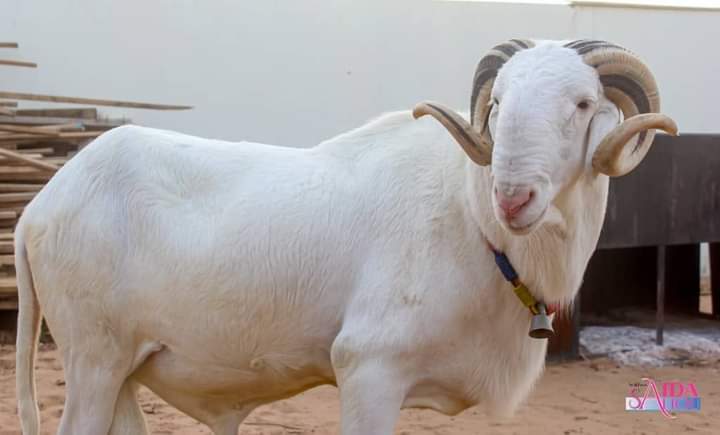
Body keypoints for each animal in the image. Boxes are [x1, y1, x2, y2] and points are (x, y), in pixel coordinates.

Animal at [15, 38, 676, 435]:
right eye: (500, 104)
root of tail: (40, 208)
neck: (472, 223)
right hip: (93, 359)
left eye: (583, 102)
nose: (512, 197)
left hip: (124, 371)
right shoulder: (368, 371)